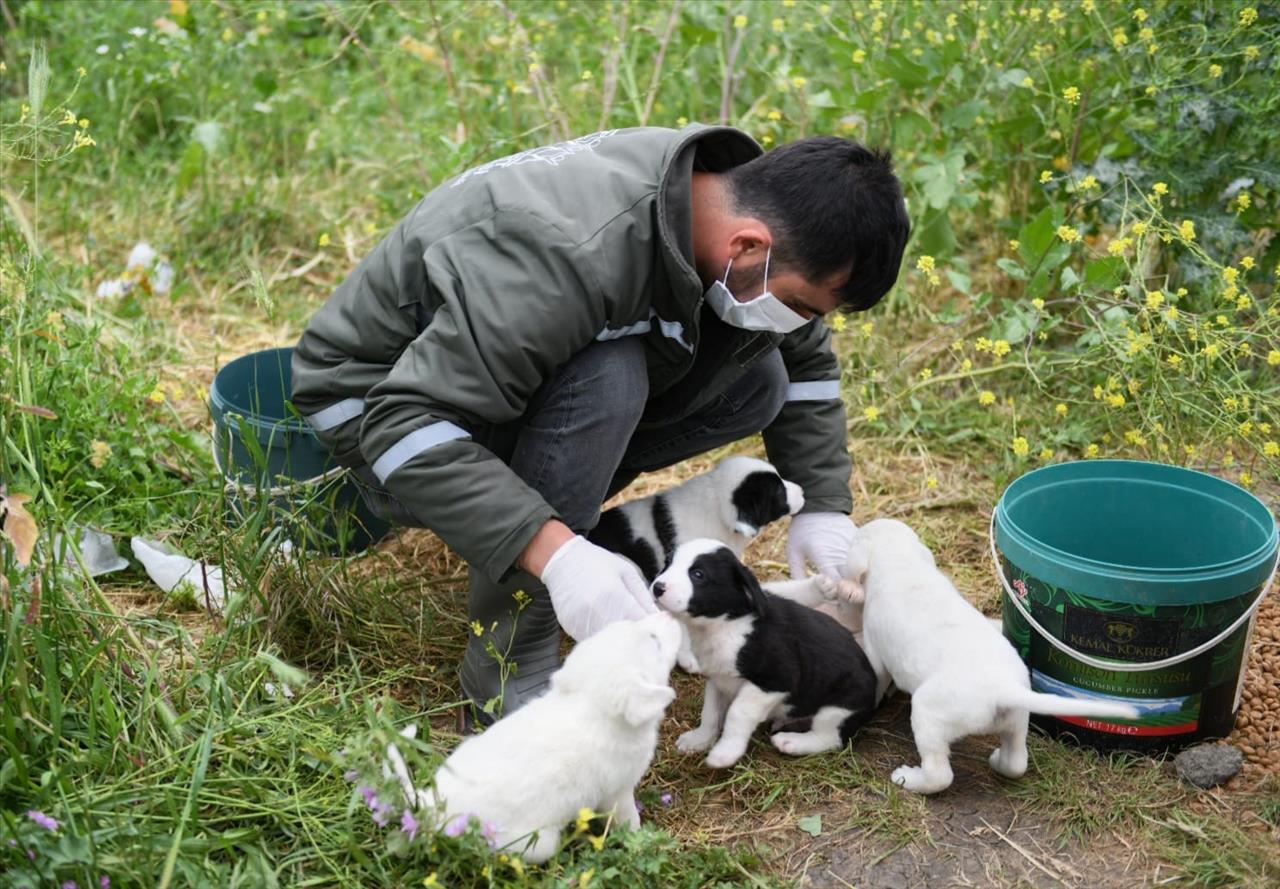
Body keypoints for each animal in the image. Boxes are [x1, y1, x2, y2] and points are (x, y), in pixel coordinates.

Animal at [422, 616, 686, 859]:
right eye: (654, 640)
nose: (668, 615)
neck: (590, 705)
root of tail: (436, 810)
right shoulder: (619, 793)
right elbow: (629, 819)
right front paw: (641, 839)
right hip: (537, 845)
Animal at [650, 539, 880, 767]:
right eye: (668, 563)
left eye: (698, 575)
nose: (657, 588)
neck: (727, 624)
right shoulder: (718, 680)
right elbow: (710, 713)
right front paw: (700, 740)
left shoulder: (775, 682)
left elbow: (737, 712)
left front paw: (725, 753)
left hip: (838, 707)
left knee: (830, 738)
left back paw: (792, 742)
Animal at [849, 519, 1141, 798]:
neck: (901, 562)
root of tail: (1003, 688)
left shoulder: (874, 648)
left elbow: (877, 675)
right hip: (1017, 722)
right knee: (1016, 762)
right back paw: (998, 761)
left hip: (927, 714)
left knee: (940, 775)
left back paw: (908, 778)